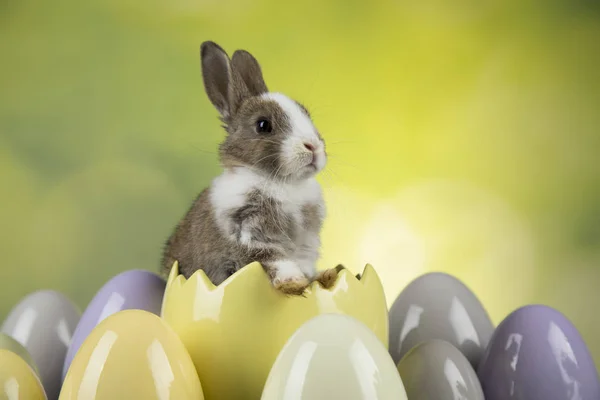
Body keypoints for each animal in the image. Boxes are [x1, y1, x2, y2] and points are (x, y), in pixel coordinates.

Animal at [162, 41, 330, 296]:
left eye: (306, 115)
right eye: (263, 125)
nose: (313, 146)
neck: (284, 183)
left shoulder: (306, 243)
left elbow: (303, 262)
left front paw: (317, 279)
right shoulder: (249, 236)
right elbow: (276, 260)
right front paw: (293, 283)